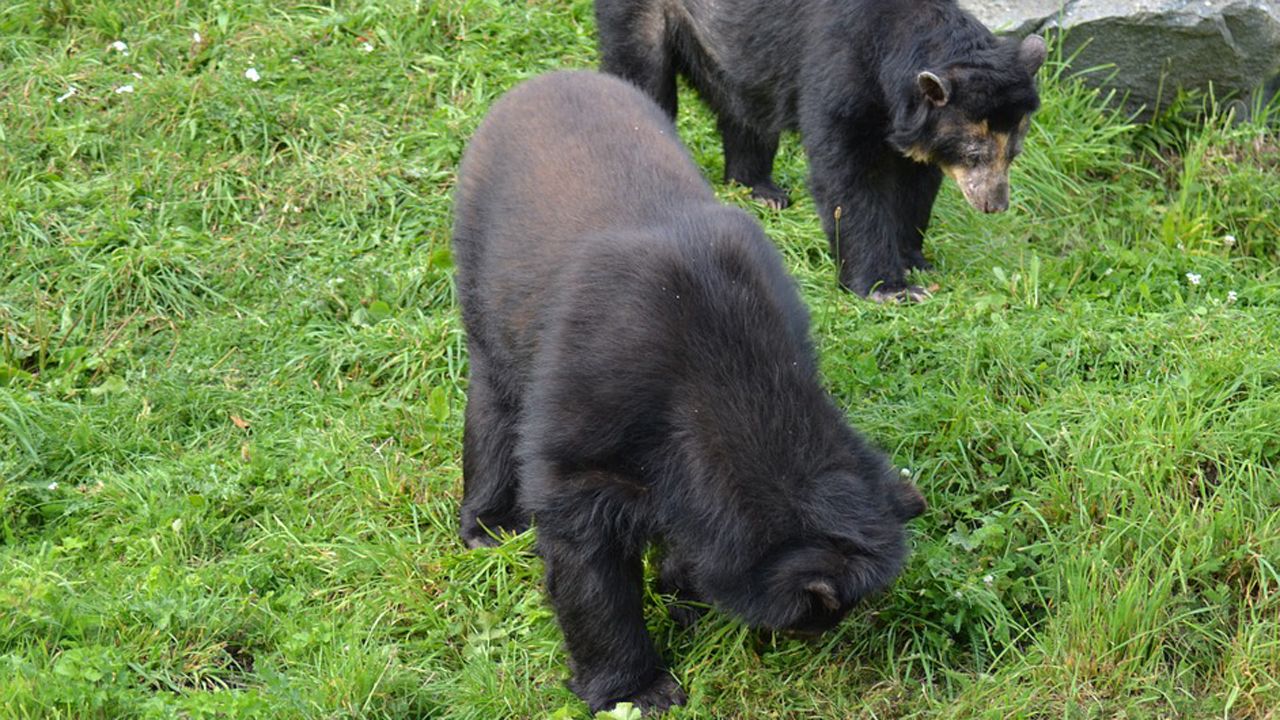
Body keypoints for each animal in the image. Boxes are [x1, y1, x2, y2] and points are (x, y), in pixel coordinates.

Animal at [452, 70, 926, 714]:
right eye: (810, 618)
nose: (818, 633)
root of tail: (540, 81)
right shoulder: (588, 421)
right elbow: (583, 547)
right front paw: (638, 689)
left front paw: (680, 589)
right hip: (483, 273)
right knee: (495, 397)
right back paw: (488, 527)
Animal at [594, 0, 1047, 301]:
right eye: (973, 153)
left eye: (1014, 152)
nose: (994, 204)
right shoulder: (839, 72)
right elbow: (847, 177)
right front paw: (891, 289)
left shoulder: (916, 131)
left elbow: (916, 185)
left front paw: (914, 259)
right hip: (645, 15)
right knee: (642, 75)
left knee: (746, 108)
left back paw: (761, 190)